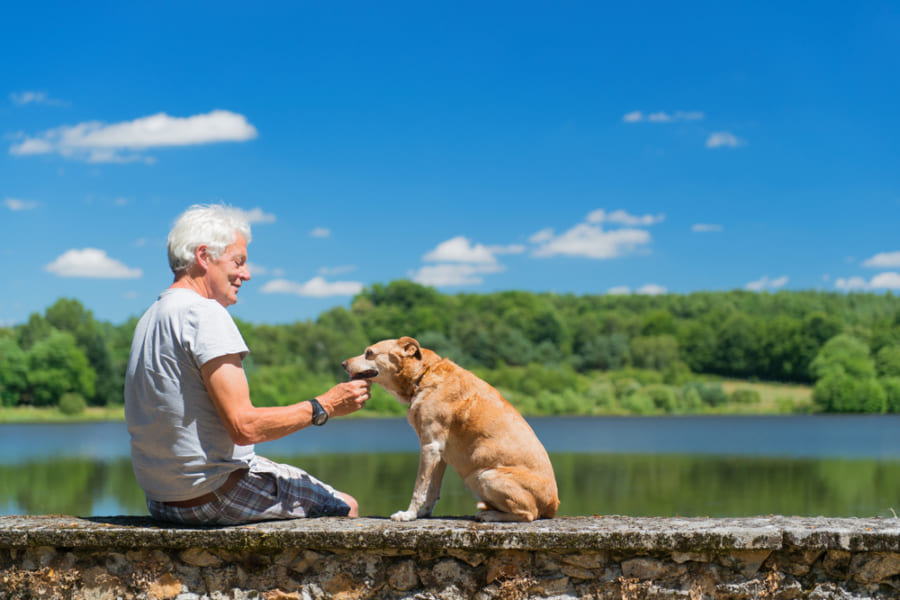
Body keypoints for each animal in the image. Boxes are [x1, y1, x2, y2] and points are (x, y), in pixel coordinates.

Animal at [342, 338, 560, 520]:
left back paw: (490, 515)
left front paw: (408, 515)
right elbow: (432, 490)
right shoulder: (440, 454)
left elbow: (419, 488)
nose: (343, 363)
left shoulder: (430, 447)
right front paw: (423, 514)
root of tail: (553, 505)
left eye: (369, 352)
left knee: (529, 514)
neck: (422, 376)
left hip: (485, 475)